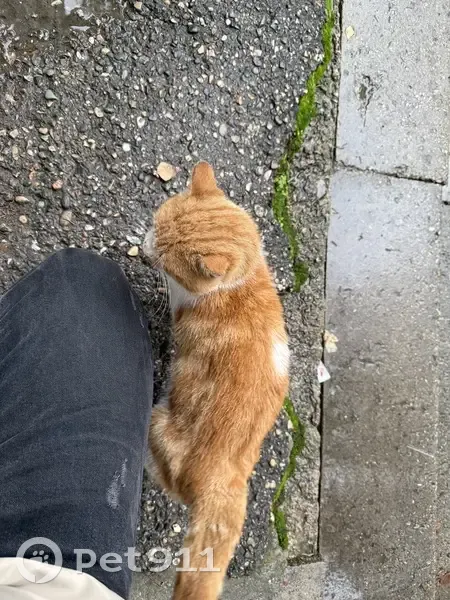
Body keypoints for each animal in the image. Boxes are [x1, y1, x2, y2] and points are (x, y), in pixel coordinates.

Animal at [144, 162, 289, 600]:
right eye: (155, 224)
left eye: (164, 257)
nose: (144, 244)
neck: (243, 281)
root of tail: (225, 479)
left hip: (159, 424)